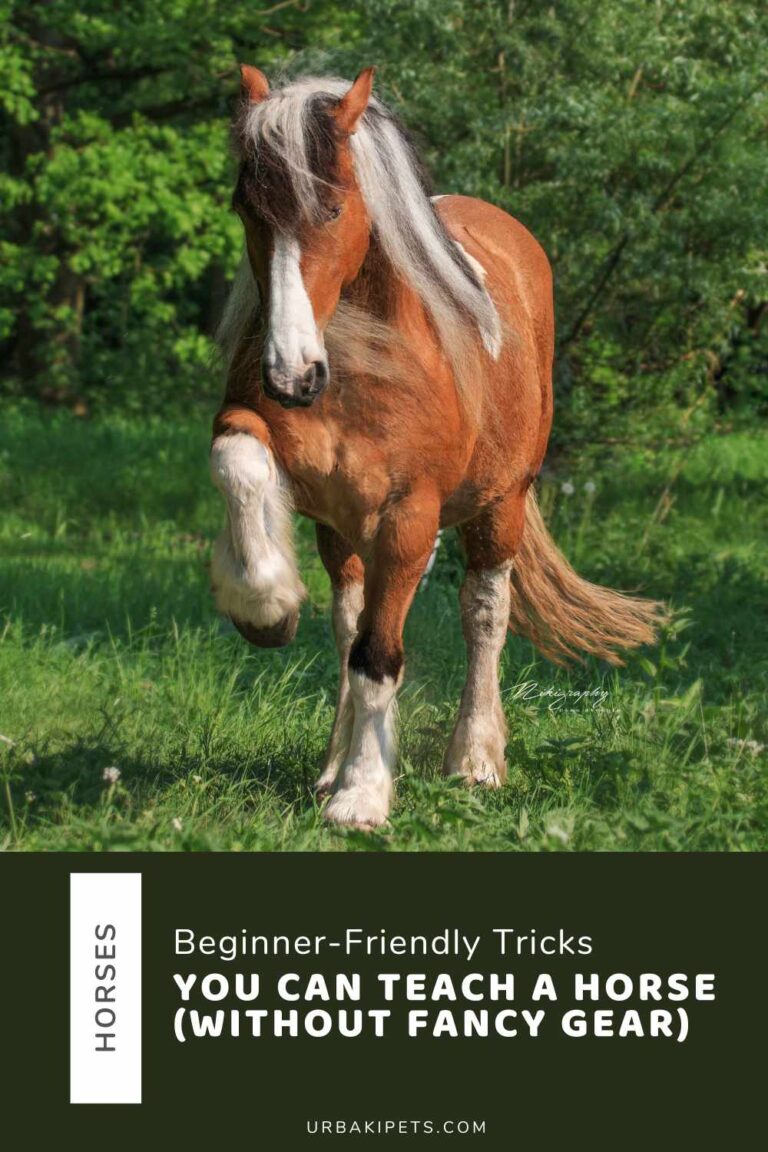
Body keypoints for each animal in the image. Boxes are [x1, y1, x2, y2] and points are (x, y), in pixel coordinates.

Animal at [210, 66, 664, 830]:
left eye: (332, 207)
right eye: (247, 206)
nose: (290, 375)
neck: (364, 363)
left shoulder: (409, 513)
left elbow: (380, 657)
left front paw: (362, 797)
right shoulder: (285, 461)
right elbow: (238, 466)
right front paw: (265, 606)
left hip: (500, 505)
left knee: (483, 614)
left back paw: (474, 760)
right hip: (345, 533)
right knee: (351, 622)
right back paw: (333, 764)